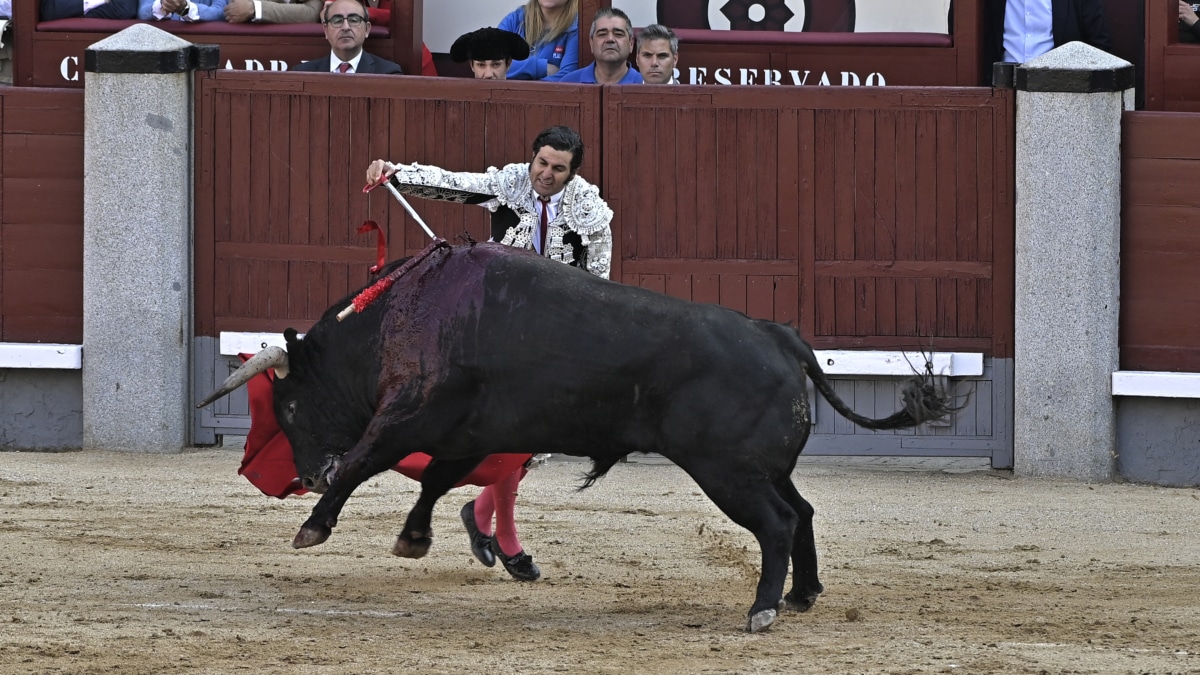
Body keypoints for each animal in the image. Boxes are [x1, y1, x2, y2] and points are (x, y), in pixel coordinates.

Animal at [204, 241, 955, 629]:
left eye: (288, 405)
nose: (304, 474)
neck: (403, 312)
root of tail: (779, 334)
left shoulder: (410, 414)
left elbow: (368, 460)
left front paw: (314, 526)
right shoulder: (467, 427)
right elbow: (440, 478)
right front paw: (415, 537)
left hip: (728, 471)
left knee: (775, 522)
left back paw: (763, 608)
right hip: (765, 466)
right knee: (803, 512)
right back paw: (801, 594)